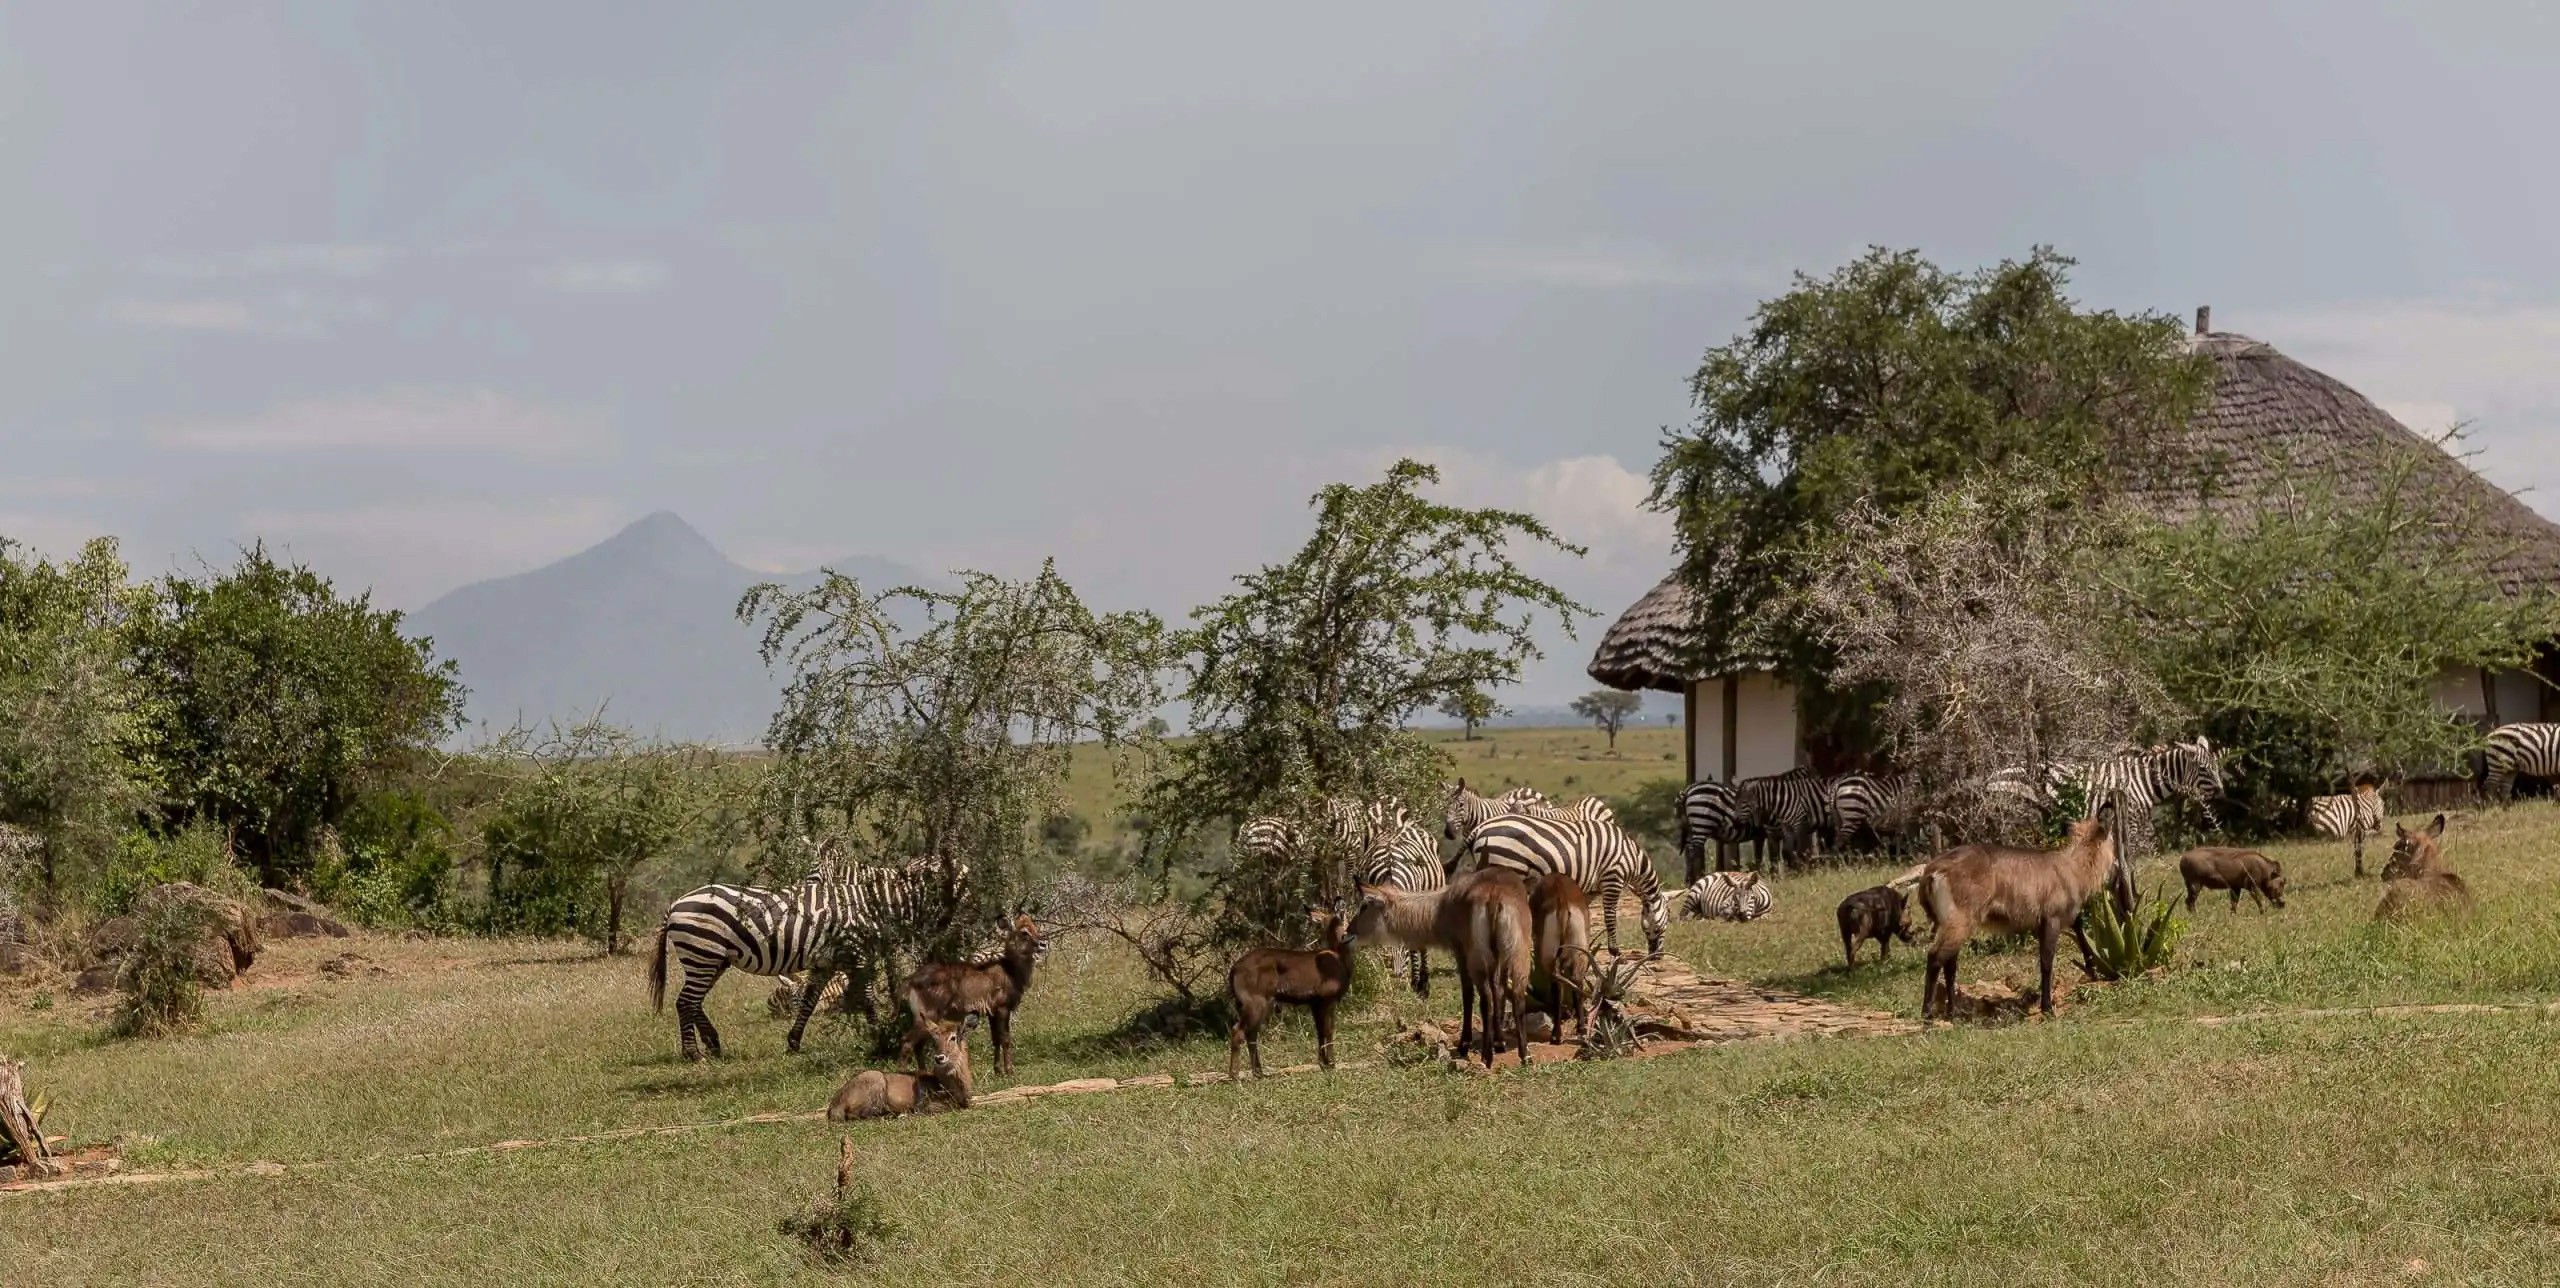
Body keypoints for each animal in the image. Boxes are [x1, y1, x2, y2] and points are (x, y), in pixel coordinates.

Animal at [649, 859, 959, 1061]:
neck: (874, 904)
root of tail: (675, 904)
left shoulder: (827, 963)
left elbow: (809, 1002)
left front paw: (793, 1043)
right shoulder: (857, 954)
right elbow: (867, 998)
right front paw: (880, 1037)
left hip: (713, 959)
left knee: (694, 1002)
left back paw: (713, 1043)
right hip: (703, 951)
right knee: (686, 1002)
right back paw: (693, 1054)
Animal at [1462, 811, 1668, 954]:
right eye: (1660, 927)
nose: (1656, 956)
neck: (1633, 859)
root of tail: (1479, 828)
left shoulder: (1591, 889)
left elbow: (1585, 914)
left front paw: (1582, 946)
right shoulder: (1612, 878)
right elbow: (1610, 917)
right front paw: (1614, 951)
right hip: (1506, 865)